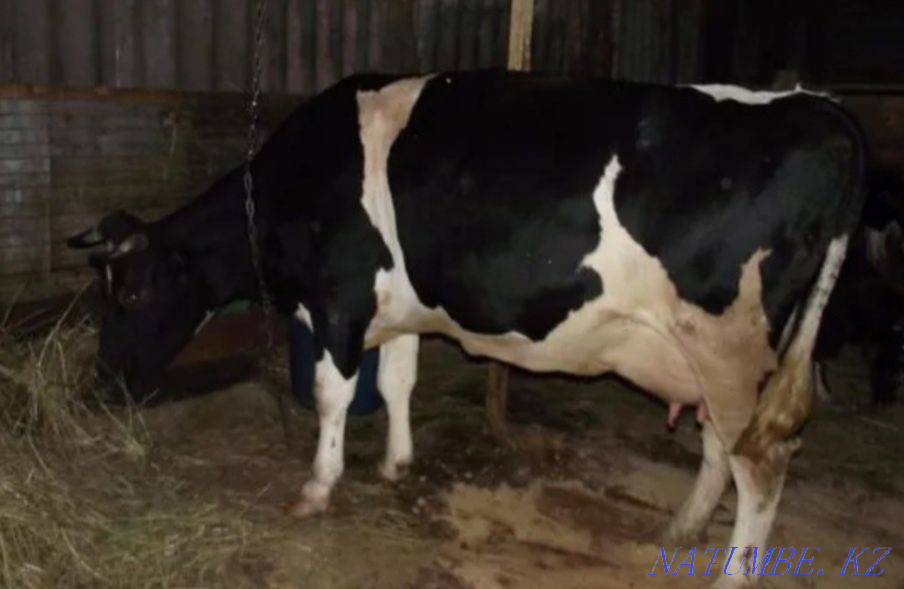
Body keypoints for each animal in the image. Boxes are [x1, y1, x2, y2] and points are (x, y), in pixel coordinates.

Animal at [68, 70, 865, 586]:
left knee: (760, 460)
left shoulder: (337, 299)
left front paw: (319, 485)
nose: (103, 384)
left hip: (728, 343)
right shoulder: (398, 305)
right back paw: (680, 529)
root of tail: (820, 108)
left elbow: (333, 394)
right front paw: (396, 462)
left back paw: (732, 574)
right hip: (710, 353)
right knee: (719, 446)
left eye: (130, 292)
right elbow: (398, 381)